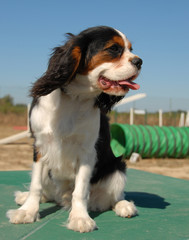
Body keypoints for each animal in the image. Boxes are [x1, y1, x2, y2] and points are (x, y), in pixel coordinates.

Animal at [6, 25, 142, 232]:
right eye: (114, 49)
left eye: (131, 49)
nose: (139, 61)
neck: (74, 98)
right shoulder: (40, 146)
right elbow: (35, 186)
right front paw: (27, 212)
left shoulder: (87, 152)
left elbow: (80, 190)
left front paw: (80, 218)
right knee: (45, 192)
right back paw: (24, 197)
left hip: (118, 168)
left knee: (115, 196)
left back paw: (125, 206)